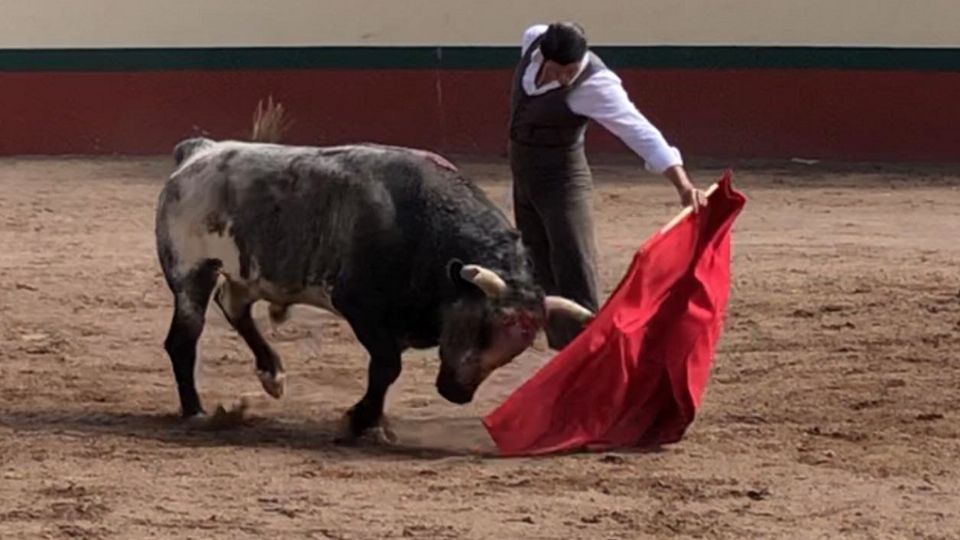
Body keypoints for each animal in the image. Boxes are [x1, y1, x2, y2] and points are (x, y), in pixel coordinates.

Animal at [154, 118, 592, 438]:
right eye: (483, 326)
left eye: (519, 346)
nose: (457, 393)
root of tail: (200, 151)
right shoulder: (361, 308)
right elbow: (386, 367)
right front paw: (358, 420)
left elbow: (385, 371)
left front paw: (373, 422)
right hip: (193, 271)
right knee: (183, 340)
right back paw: (195, 410)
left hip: (251, 275)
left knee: (234, 307)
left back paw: (272, 373)